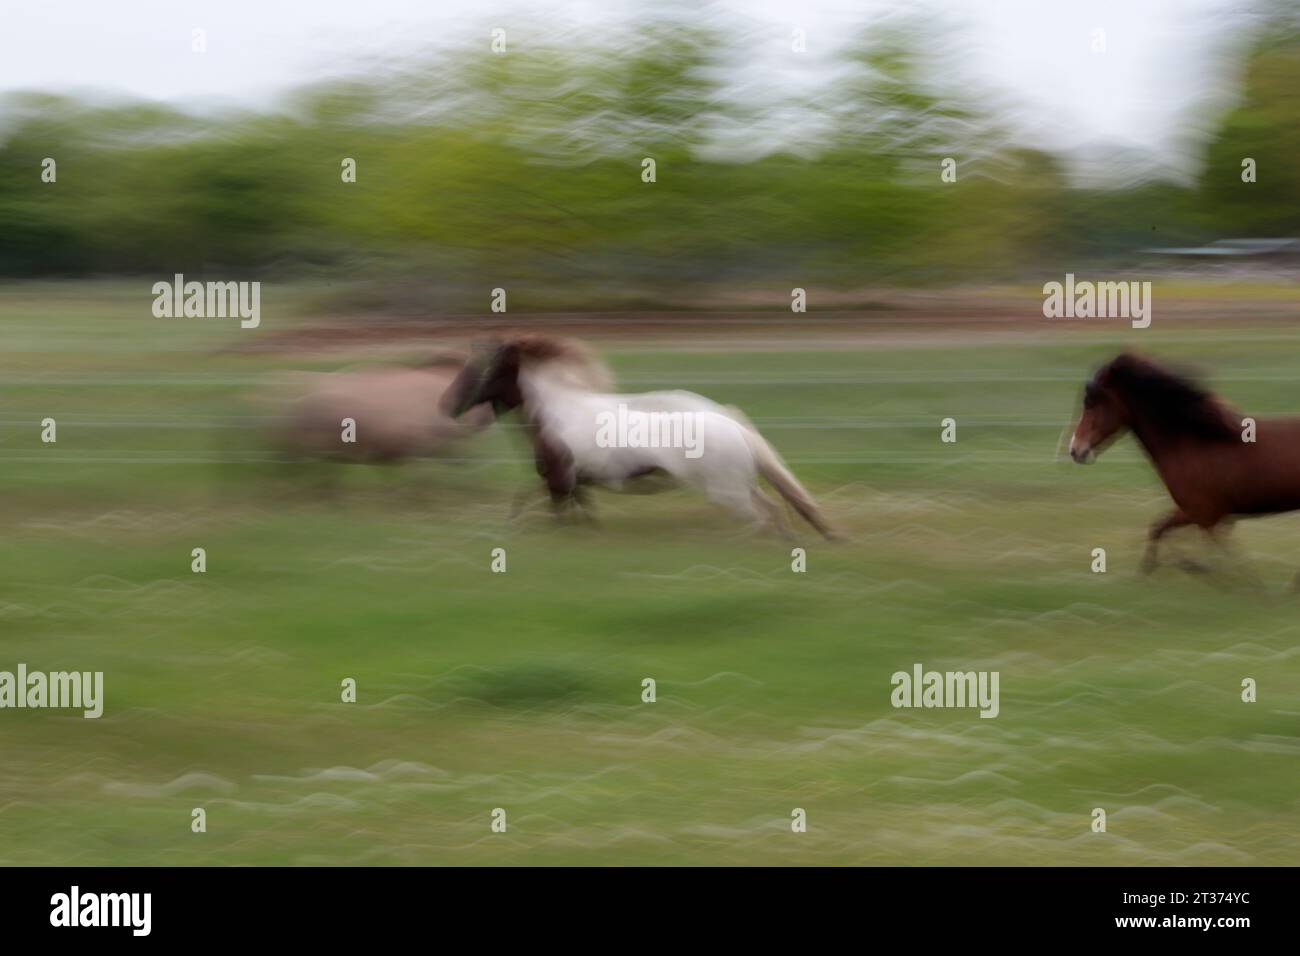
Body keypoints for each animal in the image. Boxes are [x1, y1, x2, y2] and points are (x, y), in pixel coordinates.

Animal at [441, 335, 836, 538]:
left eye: (485, 368)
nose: (446, 405)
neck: (556, 412)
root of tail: (733, 423)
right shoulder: (573, 484)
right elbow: (574, 513)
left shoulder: (560, 481)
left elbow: (556, 514)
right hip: (741, 487)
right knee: (773, 513)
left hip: (729, 493)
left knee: (761, 519)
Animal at [1068, 352, 1300, 574]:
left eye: (1092, 403)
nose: (1075, 449)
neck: (1192, 443)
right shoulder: (1201, 515)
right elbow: (1159, 530)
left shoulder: (1203, 514)